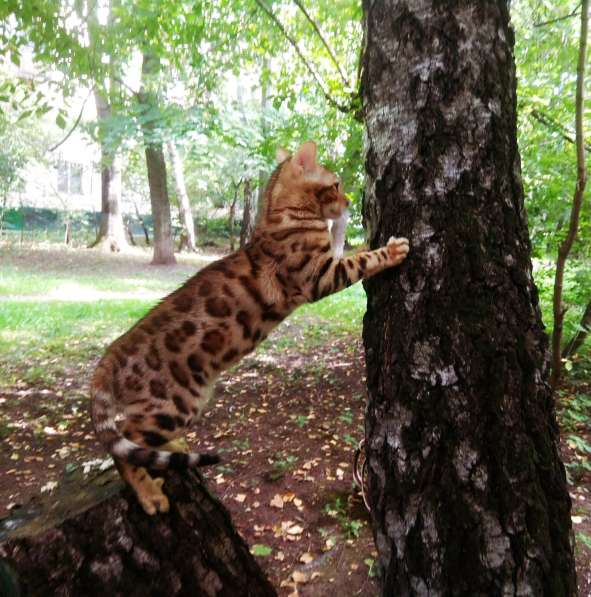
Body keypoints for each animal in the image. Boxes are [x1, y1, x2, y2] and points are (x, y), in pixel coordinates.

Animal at [91, 141, 412, 512]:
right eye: (335, 184)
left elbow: (350, 246)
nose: (348, 201)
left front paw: (365, 235)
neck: (278, 211)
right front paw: (390, 250)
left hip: (188, 401)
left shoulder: (326, 262)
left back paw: (172, 448)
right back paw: (148, 493)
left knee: (135, 439)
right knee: (123, 446)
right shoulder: (320, 276)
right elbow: (359, 259)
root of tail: (111, 352)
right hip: (175, 403)